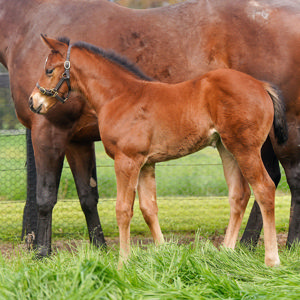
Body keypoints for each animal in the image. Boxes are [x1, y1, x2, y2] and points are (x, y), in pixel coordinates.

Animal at [29, 36, 288, 266]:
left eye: (49, 70)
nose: (33, 102)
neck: (120, 97)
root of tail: (261, 86)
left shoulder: (127, 161)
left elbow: (123, 209)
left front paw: (123, 261)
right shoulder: (146, 164)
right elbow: (149, 208)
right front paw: (164, 253)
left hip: (245, 149)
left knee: (264, 188)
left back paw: (272, 260)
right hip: (227, 149)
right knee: (239, 194)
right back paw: (225, 253)